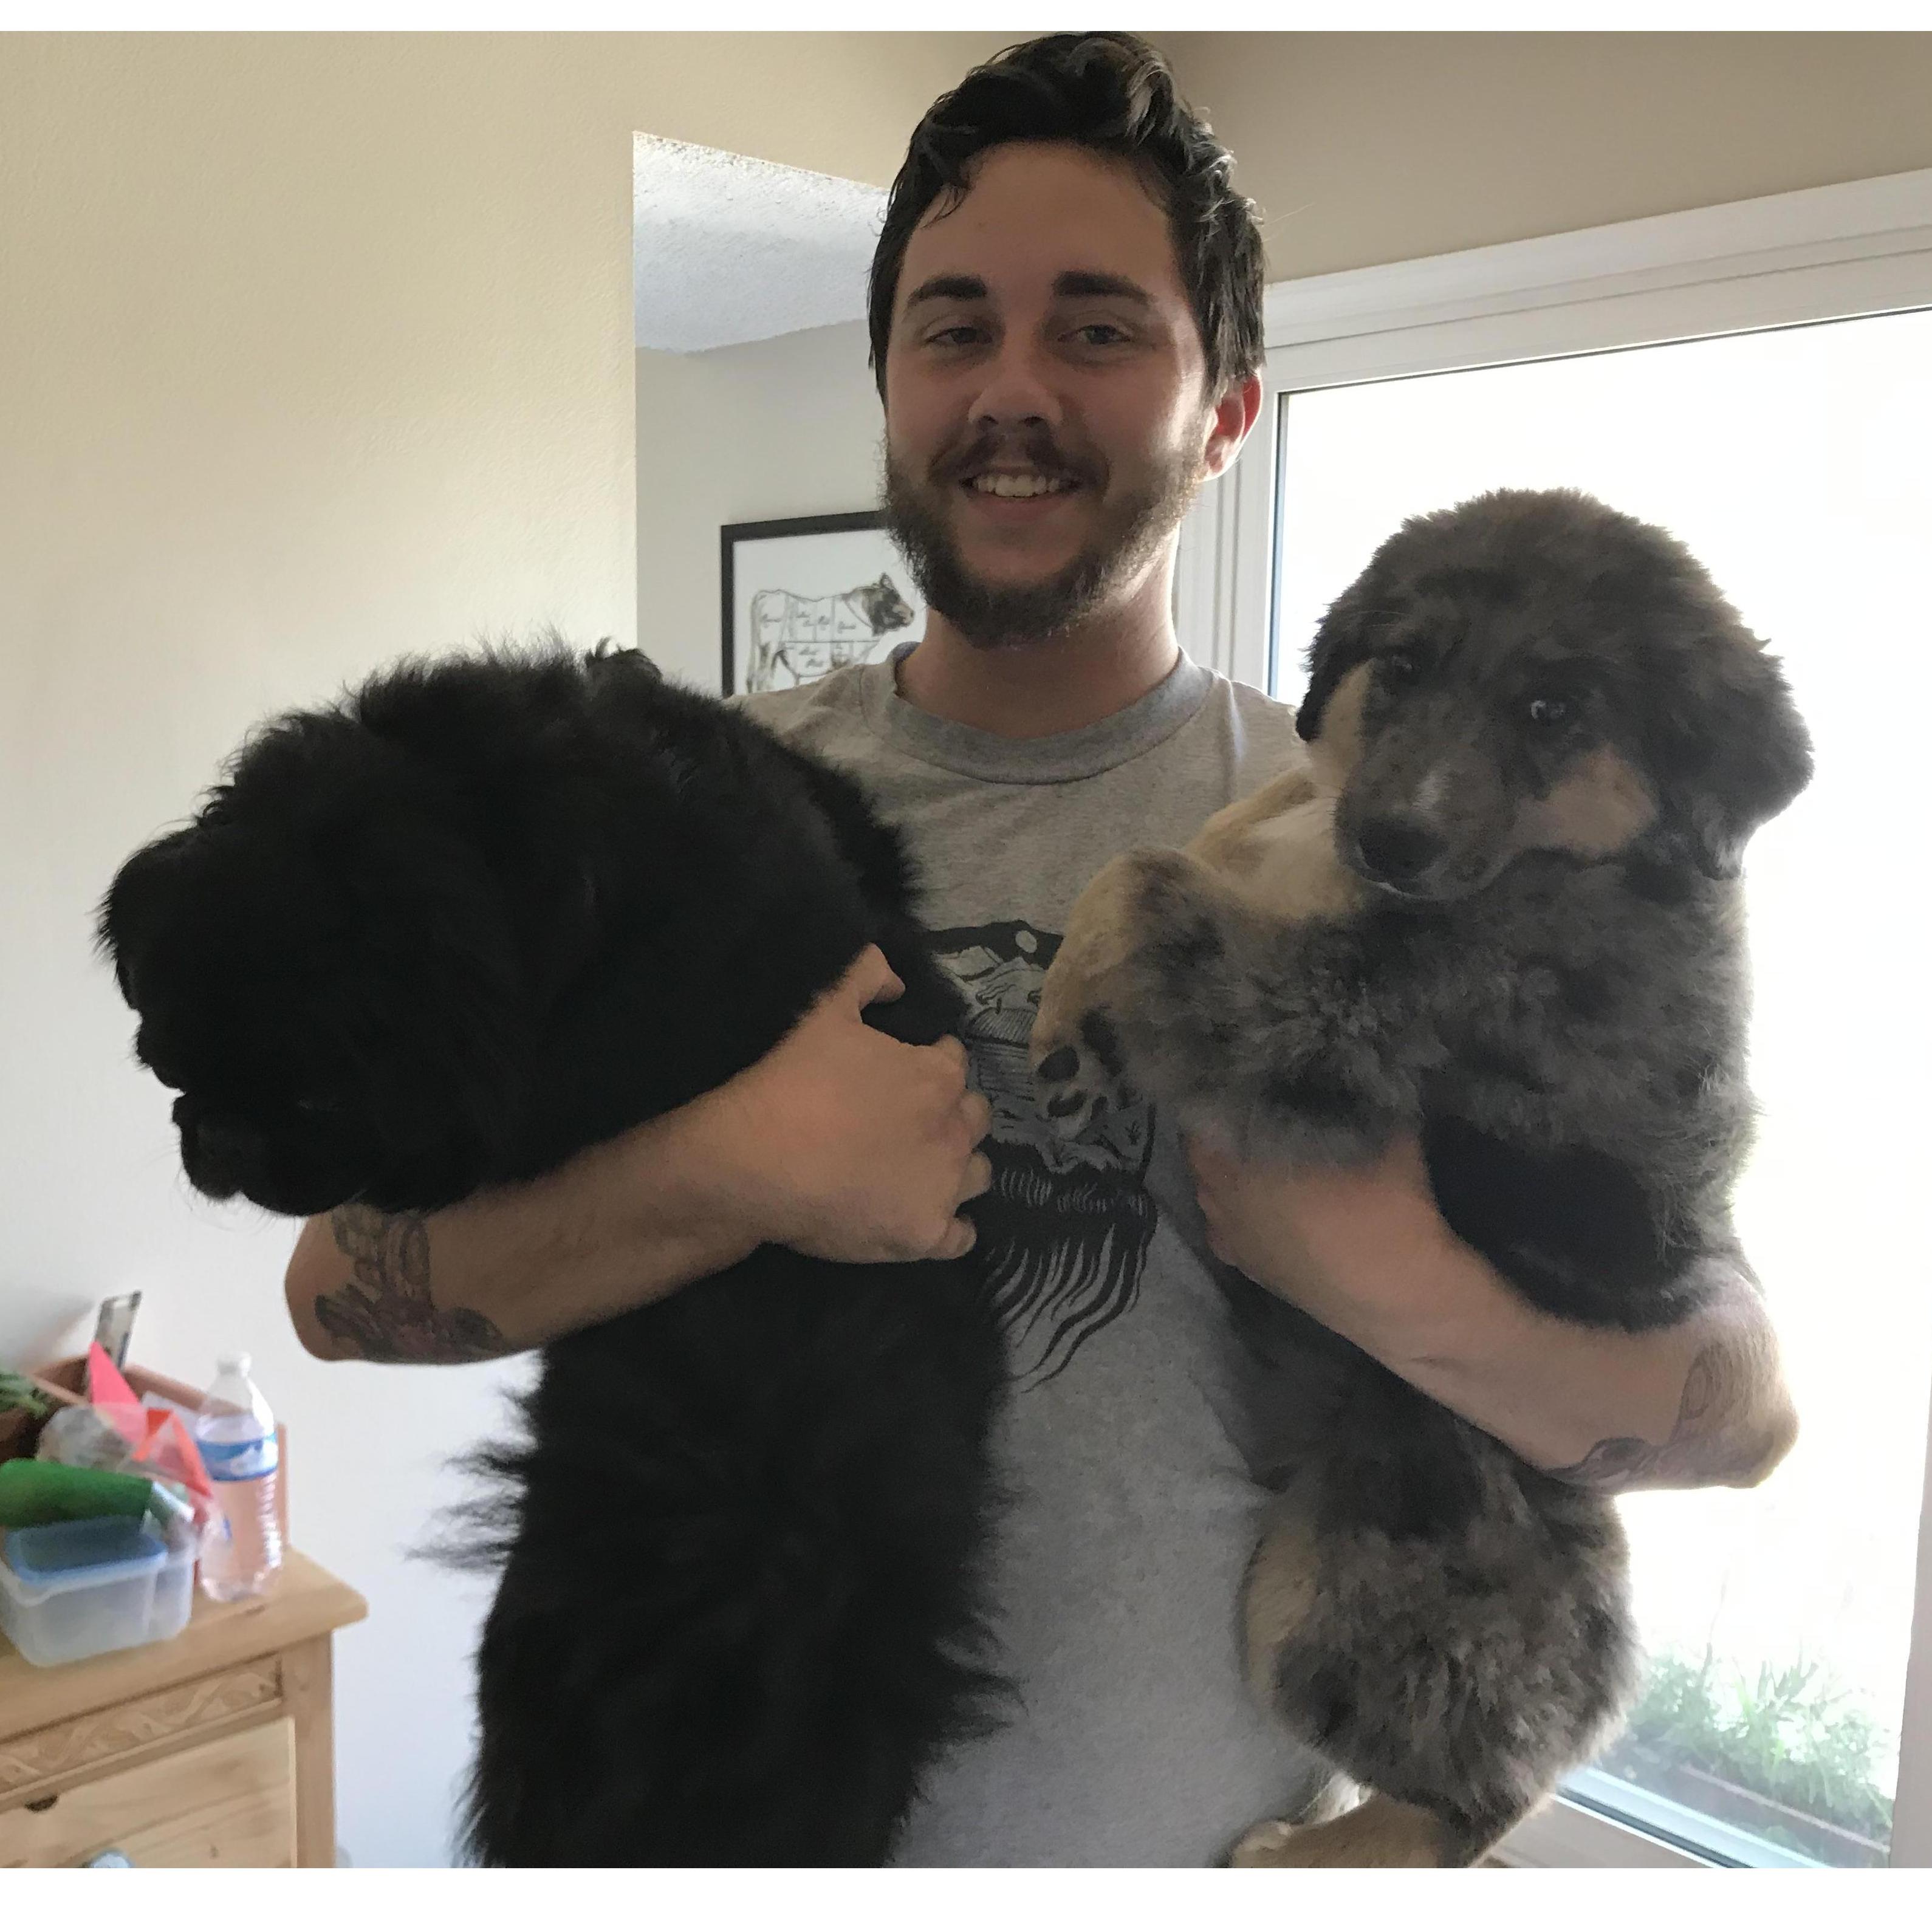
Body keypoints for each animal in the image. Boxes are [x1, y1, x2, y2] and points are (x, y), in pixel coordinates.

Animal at [1030, 488, 1813, 1866]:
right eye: (1400, 666)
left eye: (1554, 709)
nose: (1391, 840)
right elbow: (1191, 846)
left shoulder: (1329, 1024)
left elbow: (1141, 877)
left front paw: (1069, 1033)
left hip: (1326, 1610)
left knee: (1474, 1803)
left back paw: (1283, 1856)